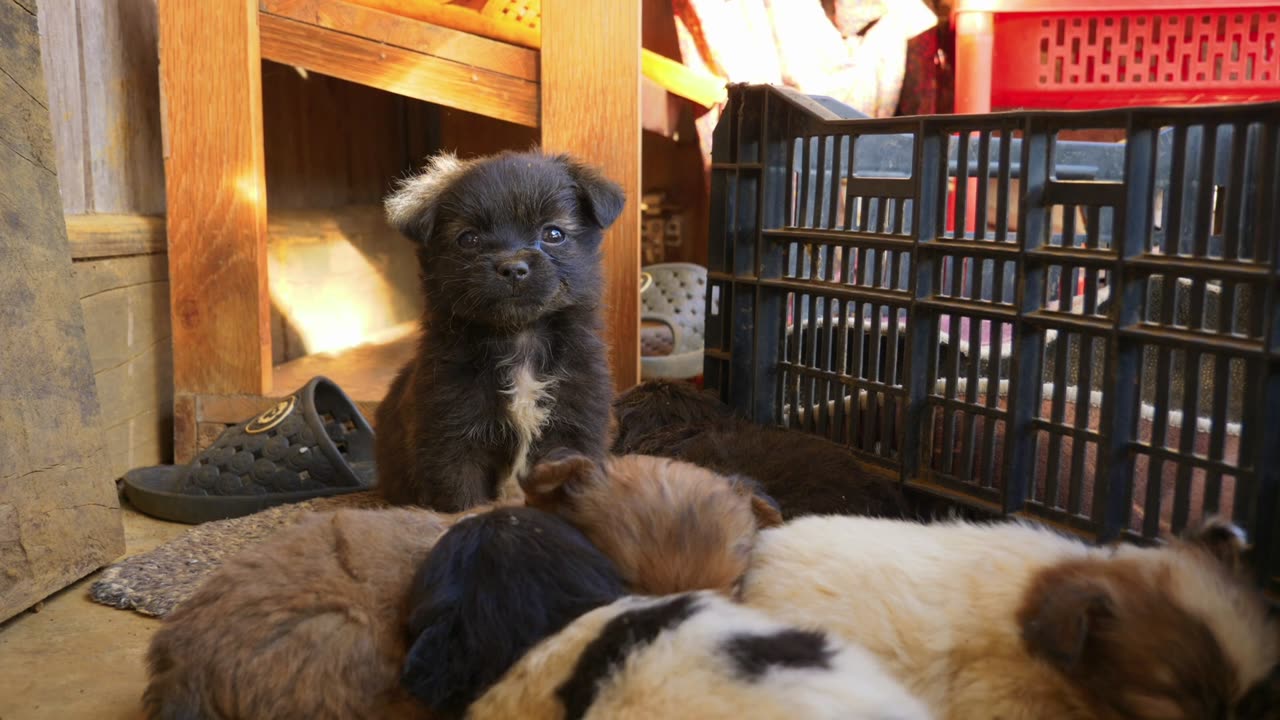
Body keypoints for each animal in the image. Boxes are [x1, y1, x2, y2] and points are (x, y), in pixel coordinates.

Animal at [373, 149, 624, 509]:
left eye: (554, 234)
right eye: (469, 238)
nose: (513, 268)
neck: (519, 338)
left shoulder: (575, 426)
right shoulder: (450, 437)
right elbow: (462, 501)